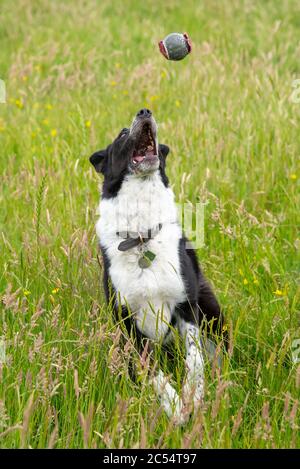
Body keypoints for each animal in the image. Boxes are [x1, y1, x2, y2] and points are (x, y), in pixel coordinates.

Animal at [89, 108, 225, 422]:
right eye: (122, 133)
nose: (145, 111)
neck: (141, 238)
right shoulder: (128, 324)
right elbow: (151, 370)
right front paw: (174, 407)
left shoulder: (186, 307)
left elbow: (195, 359)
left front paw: (192, 396)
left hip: (211, 308)